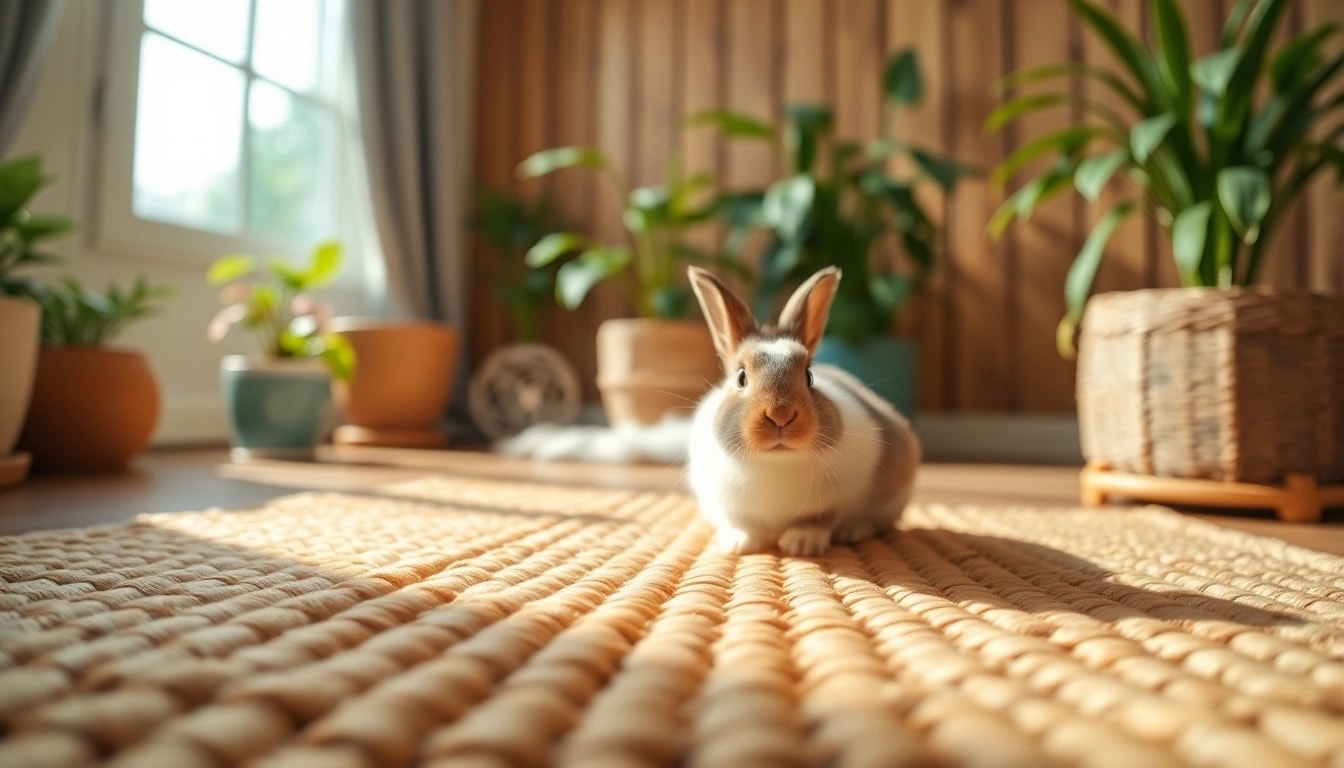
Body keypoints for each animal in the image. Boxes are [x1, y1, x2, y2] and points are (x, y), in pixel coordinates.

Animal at [685, 264, 921, 557]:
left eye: (809, 376)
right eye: (741, 377)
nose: (780, 415)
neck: (777, 463)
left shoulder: (834, 499)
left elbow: (817, 519)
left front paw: (802, 544)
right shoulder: (727, 505)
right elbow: (741, 524)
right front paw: (738, 544)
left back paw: (854, 531)